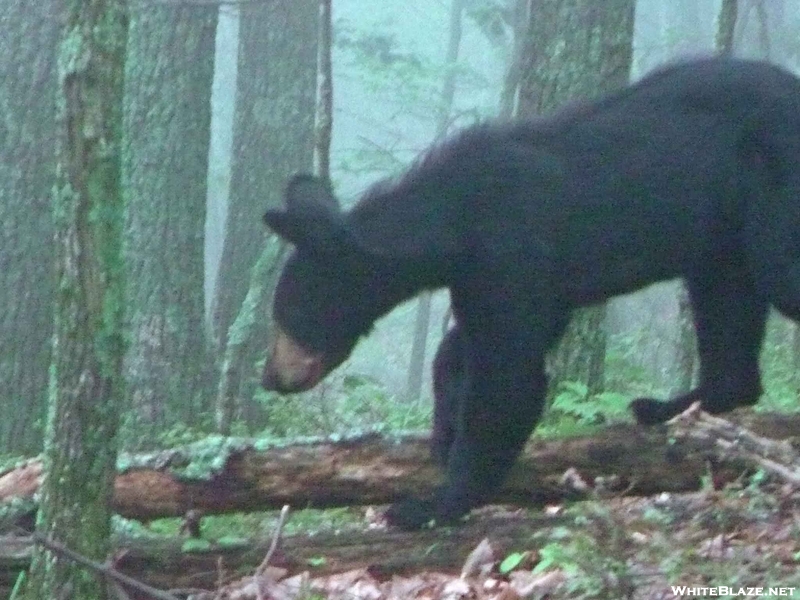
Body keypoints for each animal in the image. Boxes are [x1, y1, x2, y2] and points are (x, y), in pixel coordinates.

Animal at [264, 58, 800, 528]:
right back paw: (671, 407)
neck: (452, 223)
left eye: (288, 315)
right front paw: (444, 428)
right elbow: (465, 347)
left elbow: (508, 377)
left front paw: (432, 504)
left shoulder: (511, 252)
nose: (270, 377)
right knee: (727, 308)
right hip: (722, 235)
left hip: (772, 197)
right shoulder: (493, 277)